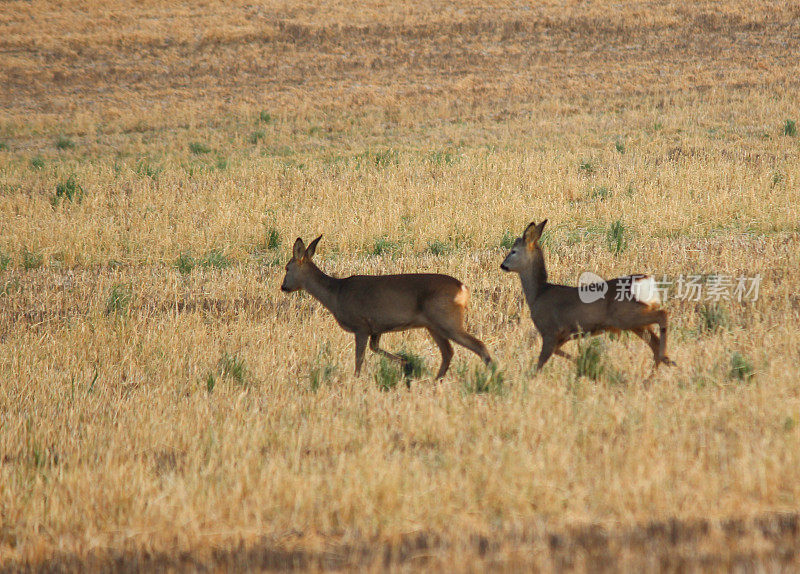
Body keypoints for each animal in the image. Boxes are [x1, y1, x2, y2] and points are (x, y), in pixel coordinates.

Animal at [282, 236, 494, 380]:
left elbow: (359, 359)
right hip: (433, 325)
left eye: (287, 268)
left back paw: (492, 376)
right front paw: (406, 364)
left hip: (447, 320)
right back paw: (436, 381)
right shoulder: (376, 328)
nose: (283, 287)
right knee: (448, 352)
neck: (336, 293)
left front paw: (357, 380)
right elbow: (375, 348)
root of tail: (464, 288)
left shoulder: (361, 326)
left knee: (478, 345)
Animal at [500, 220, 676, 374]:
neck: (539, 293)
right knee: (654, 342)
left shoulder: (550, 330)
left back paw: (665, 359)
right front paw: (582, 362)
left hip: (625, 316)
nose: (503, 265)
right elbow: (558, 352)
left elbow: (540, 363)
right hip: (635, 321)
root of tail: (645, 281)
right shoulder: (565, 334)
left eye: (513, 251)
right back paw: (659, 369)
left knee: (663, 315)